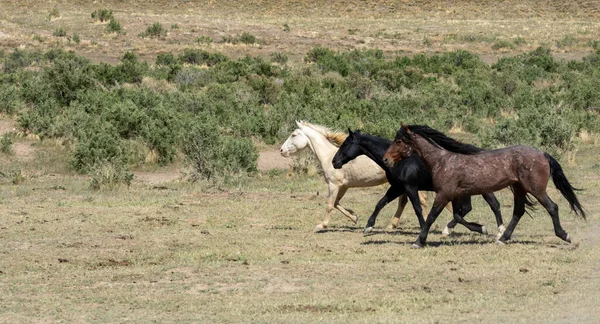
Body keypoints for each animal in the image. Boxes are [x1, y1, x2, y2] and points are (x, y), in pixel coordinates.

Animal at [278, 121, 428, 230]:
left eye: (294, 135)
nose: (281, 150)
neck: (328, 156)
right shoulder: (343, 186)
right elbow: (336, 203)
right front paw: (354, 217)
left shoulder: (334, 185)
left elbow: (330, 205)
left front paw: (321, 225)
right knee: (404, 202)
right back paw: (391, 225)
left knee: (422, 200)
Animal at [330, 128, 504, 237]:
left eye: (346, 143)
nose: (334, 162)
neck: (400, 162)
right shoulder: (397, 187)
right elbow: (380, 203)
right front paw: (369, 226)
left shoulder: (409, 187)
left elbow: (417, 208)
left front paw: (423, 227)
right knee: (482, 206)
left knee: (479, 207)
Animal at [382, 124, 584, 248]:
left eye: (399, 141)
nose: (386, 159)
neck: (443, 161)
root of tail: (542, 154)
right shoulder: (455, 194)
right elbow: (458, 215)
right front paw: (481, 228)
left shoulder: (444, 194)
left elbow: (432, 216)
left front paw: (419, 241)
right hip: (519, 189)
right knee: (518, 212)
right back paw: (502, 238)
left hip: (536, 189)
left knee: (552, 207)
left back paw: (565, 235)